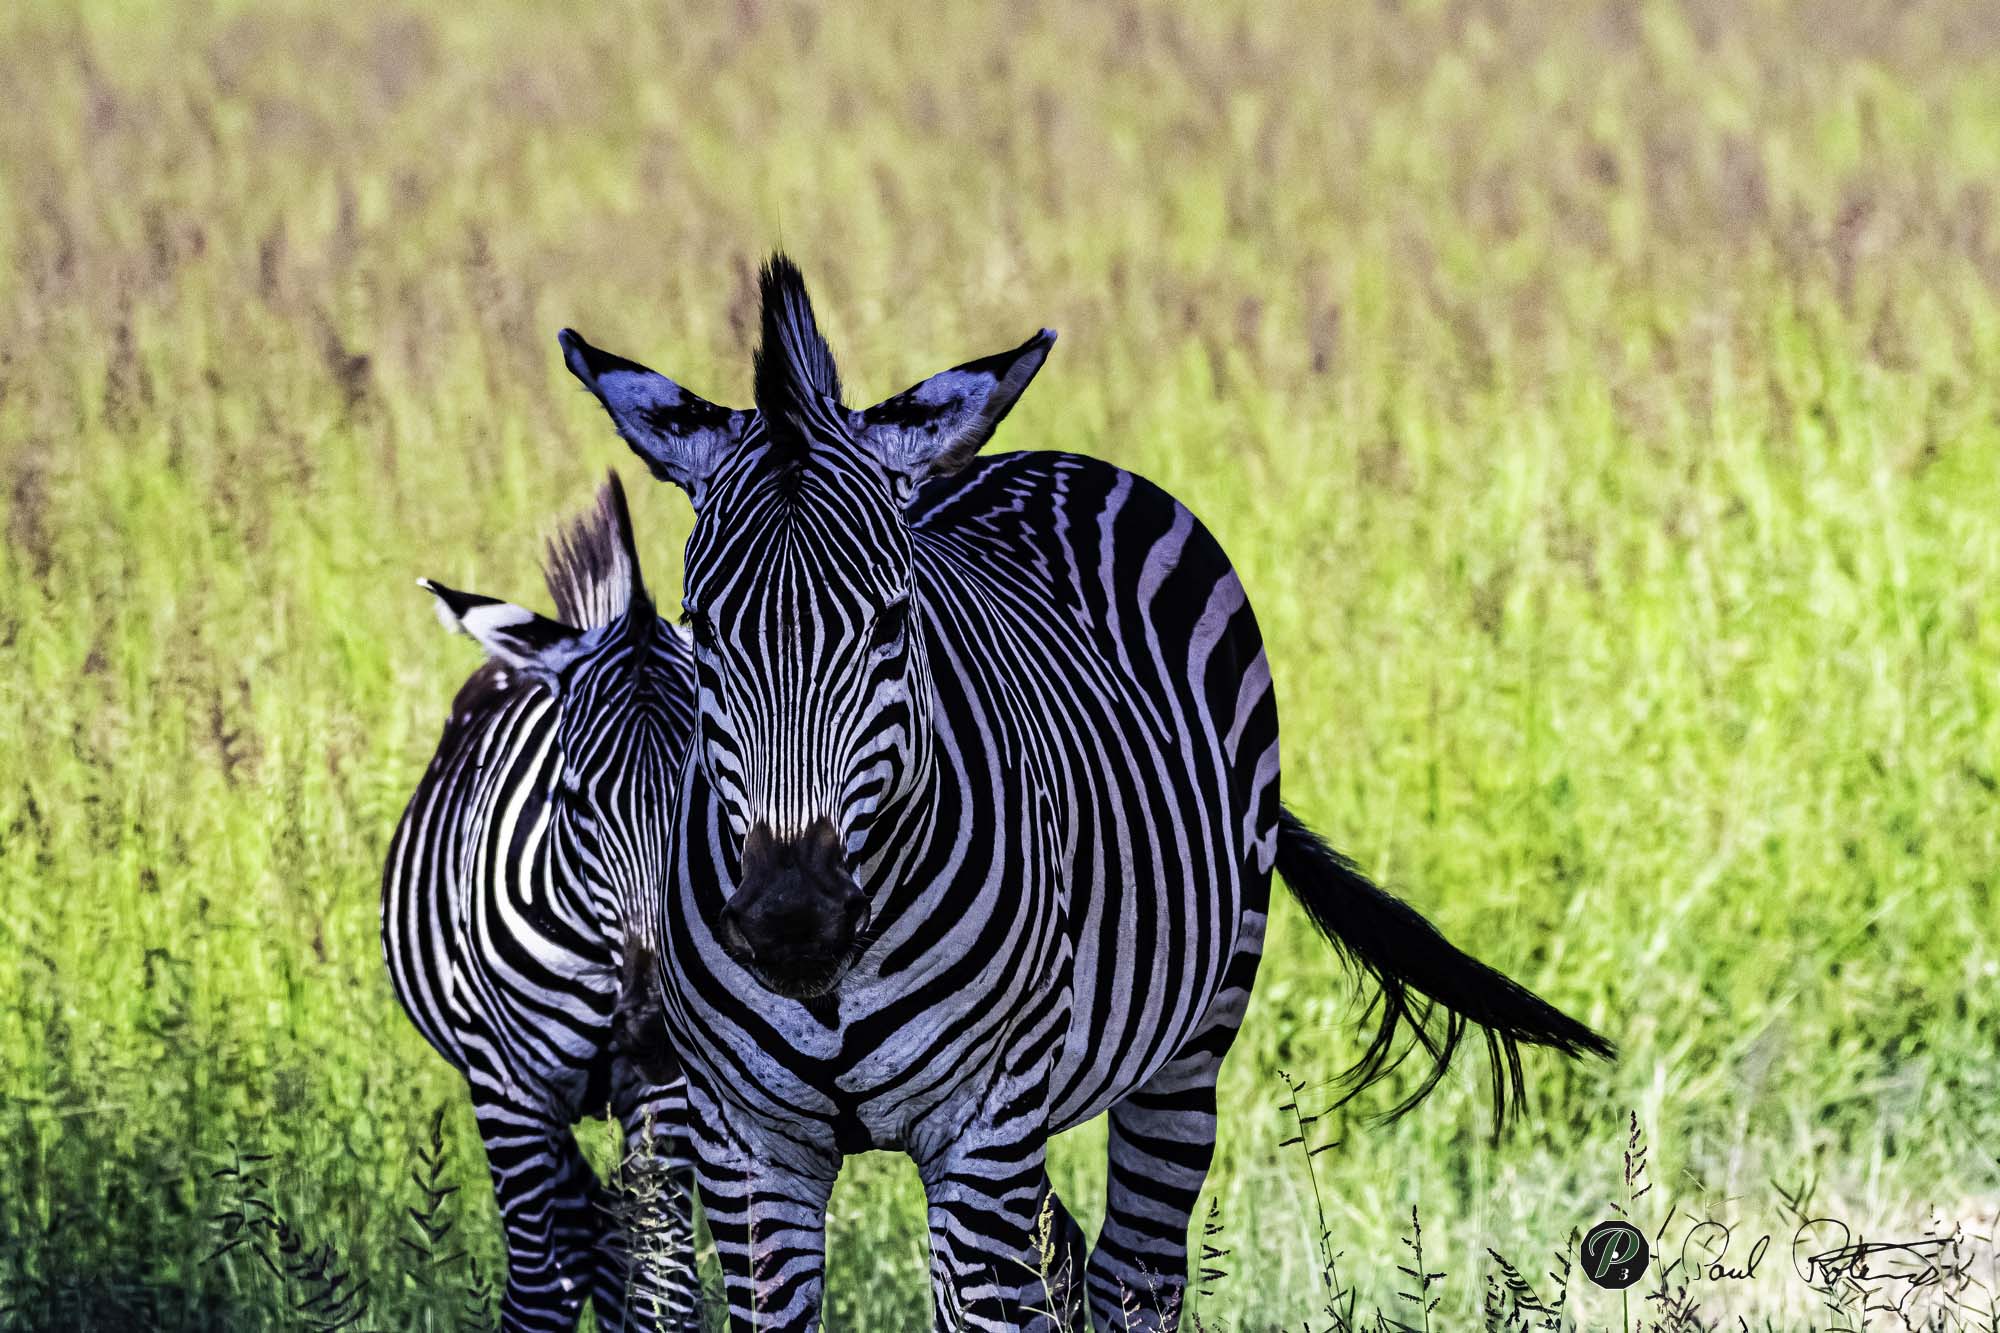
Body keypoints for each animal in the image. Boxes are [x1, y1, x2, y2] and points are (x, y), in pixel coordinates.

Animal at [381, 475, 704, 1332]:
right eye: (575, 799)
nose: (654, 1028)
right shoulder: (507, 1086)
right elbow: (540, 1285)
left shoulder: (667, 1096)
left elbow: (661, 1286)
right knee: (574, 1247)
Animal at [556, 257, 1614, 1332]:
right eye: (701, 627)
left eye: (892, 621)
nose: (791, 920)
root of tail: (1044, 458)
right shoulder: (747, 1150)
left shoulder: (983, 1127)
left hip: (1193, 1032)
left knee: (1132, 1274)